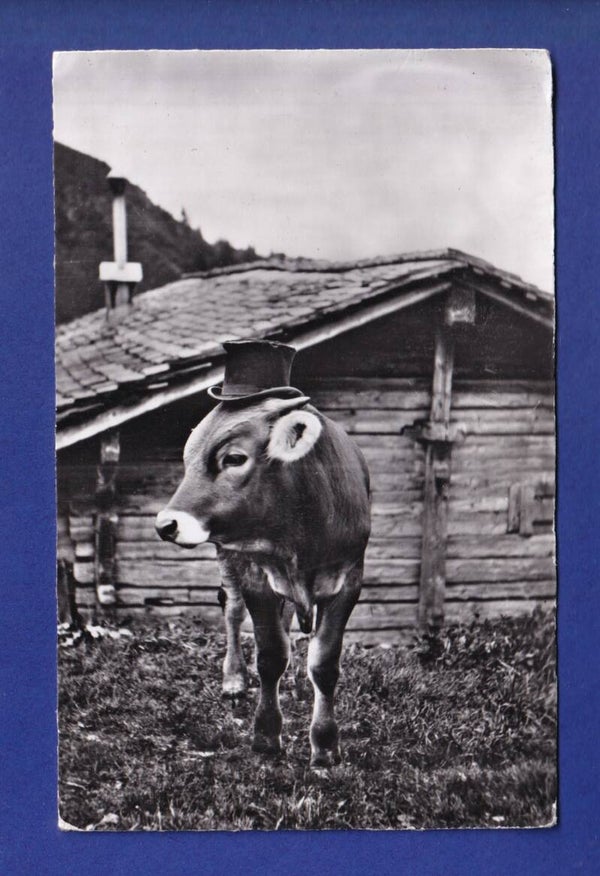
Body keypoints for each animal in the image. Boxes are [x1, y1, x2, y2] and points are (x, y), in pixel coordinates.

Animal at [155, 352, 370, 768]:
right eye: (187, 459)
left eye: (234, 458)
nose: (165, 524)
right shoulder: (257, 574)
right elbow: (270, 655)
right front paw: (266, 737)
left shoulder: (349, 578)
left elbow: (323, 663)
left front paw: (325, 746)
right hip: (229, 556)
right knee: (232, 608)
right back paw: (234, 679)